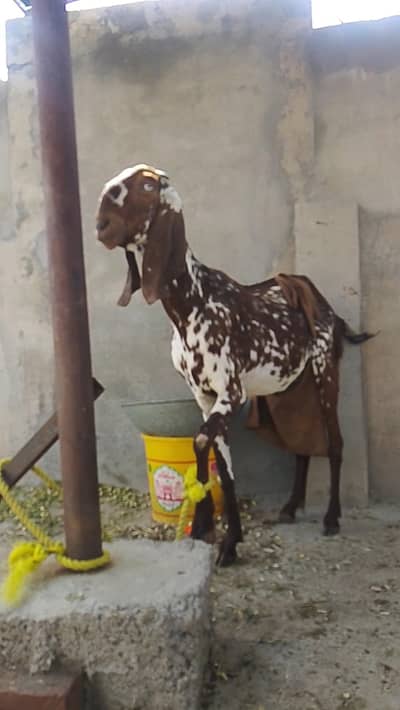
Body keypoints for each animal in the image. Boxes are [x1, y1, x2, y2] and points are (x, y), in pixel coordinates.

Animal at [96, 164, 373, 566]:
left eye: (147, 185)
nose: (101, 224)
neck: (193, 302)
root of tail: (327, 308)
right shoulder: (204, 396)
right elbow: (223, 467)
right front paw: (227, 539)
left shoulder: (231, 392)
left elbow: (199, 442)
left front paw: (206, 526)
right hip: (289, 386)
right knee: (301, 444)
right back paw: (290, 507)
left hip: (324, 373)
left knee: (334, 442)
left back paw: (331, 518)